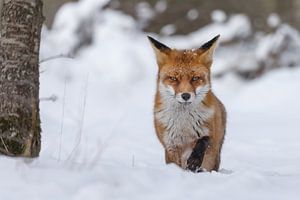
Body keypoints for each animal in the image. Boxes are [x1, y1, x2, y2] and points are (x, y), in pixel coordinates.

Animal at [148, 34, 225, 172]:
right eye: (173, 78)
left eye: (195, 78)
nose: (185, 95)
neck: (183, 124)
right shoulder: (170, 144)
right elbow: (175, 164)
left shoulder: (211, 135)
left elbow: (203, 141)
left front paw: (194, 161)